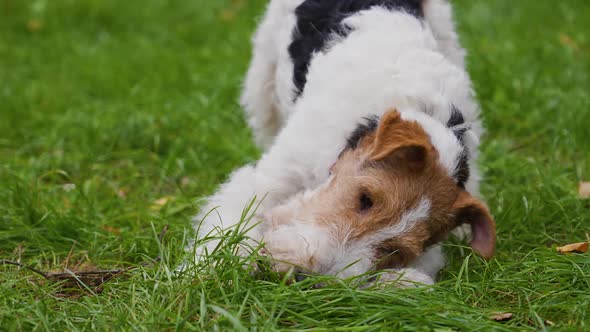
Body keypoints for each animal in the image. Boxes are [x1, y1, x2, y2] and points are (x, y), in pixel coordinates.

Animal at [187, 0, 498, 286]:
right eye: (365, 198)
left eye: (395, 250)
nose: (305, 277)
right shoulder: (273, 176)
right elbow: (231, 218)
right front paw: (205, 274)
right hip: (263, 83)